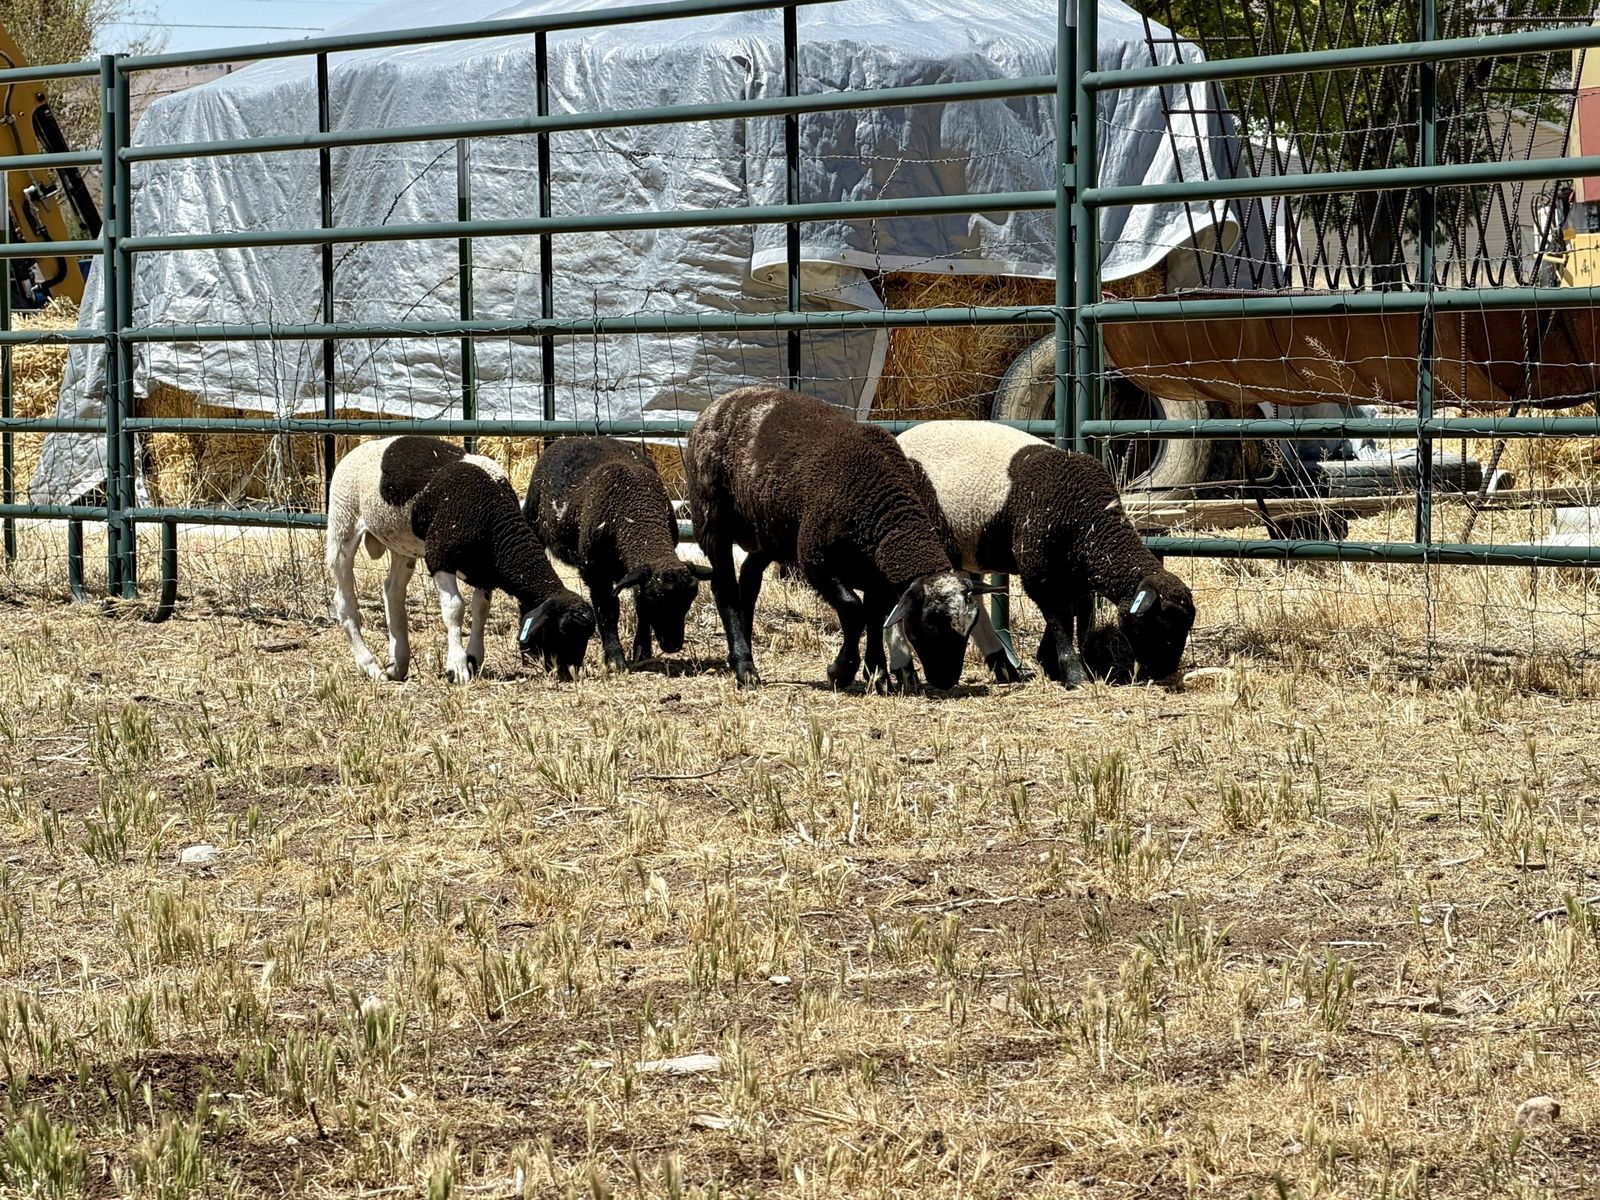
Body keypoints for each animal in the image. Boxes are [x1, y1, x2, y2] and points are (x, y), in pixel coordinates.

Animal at [325, 435, 596, 683]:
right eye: (563, 630)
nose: (570, 675)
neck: (495, 521)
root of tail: (358, 448)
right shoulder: (440, 558)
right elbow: (455, 608)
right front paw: (457, 667)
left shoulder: (486, 570)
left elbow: (481, 609)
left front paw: (474, 658)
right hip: (342, 522)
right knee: (344, 601)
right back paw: (370, 666)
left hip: (403, 544)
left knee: (393, 591)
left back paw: (398, 665)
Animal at [523, 436, 712, 672]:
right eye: (657, 599)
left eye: (688, 602)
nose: (673, 645)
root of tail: (570, 438)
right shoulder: (595, 572)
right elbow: (607, 612)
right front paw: (615, 660)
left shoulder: (637, 573)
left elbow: (639, 607)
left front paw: (642, 652)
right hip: (532, 521)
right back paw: (529, 651)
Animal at [684, 385, 985, 692]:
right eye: (929, 622)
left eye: (971, 623)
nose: (947, 680)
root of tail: (724, 400)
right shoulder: (815, 561)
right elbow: (854, 611)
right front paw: (841, 671)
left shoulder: (877, 576)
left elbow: (876, 618)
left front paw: (878, 675)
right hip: (712, 520)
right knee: (726, 590)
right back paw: (744, 668)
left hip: (769, 532)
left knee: (749, 579)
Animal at [897, 420, 1195, 686]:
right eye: (1161, 623)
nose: (1165, 671)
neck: (1090, 520)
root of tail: (900, 438)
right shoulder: (1038, 569)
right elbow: (1058, 616)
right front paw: (1073, 674)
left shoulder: (1072, 573)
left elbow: (1076, 612)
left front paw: (1053, 662)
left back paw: (1005, 670)